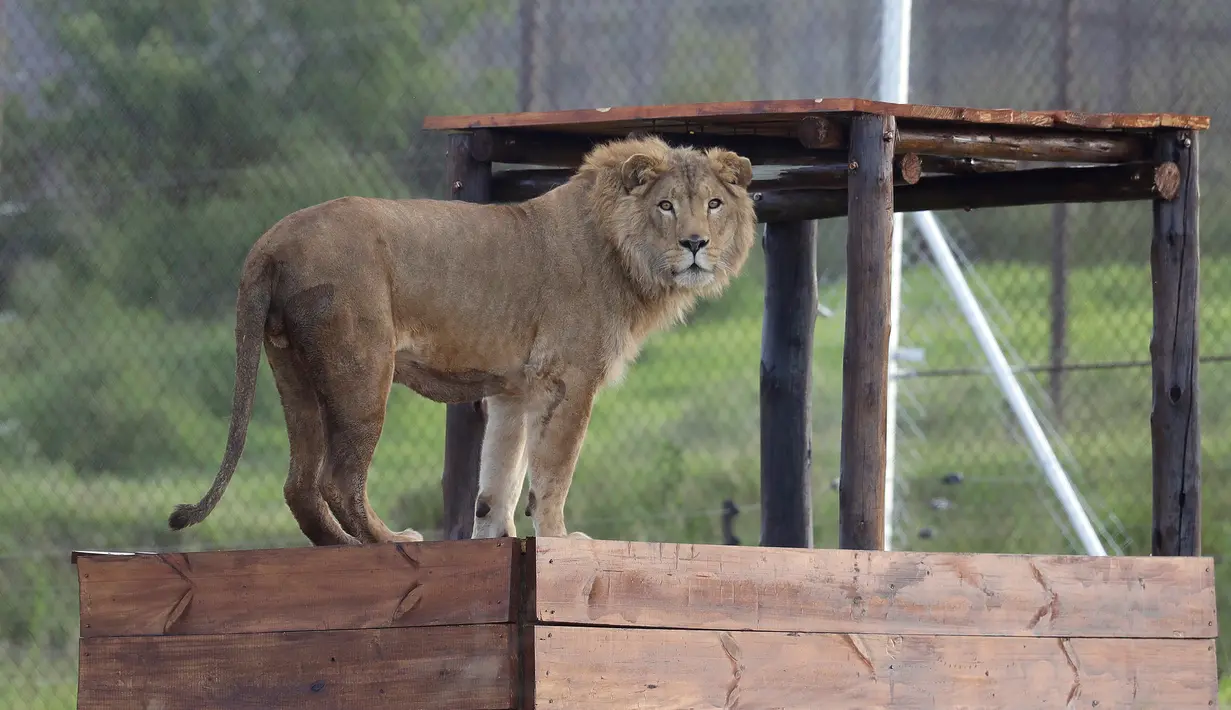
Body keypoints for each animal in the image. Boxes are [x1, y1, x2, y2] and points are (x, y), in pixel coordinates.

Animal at [163, 134, 758, 541]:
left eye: (713, 203)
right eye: (665, 205)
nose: (696, 243)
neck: (622, 253)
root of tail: (270, 241)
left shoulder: (516, 390)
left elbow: (500, 477)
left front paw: (497, 537)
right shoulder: (568, 379)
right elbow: (554, 470)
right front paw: (562, 540)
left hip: (294, 372)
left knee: (300, 487)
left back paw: (344, 547)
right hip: (362, 369)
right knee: (339, 479)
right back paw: (389, 541)